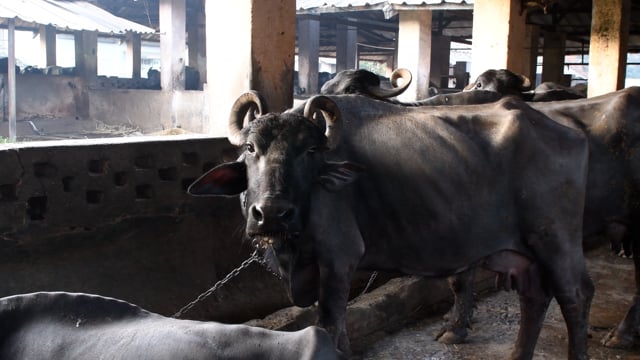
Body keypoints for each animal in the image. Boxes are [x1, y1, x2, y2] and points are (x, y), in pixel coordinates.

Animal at [188, 91, 592, 358]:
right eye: (251, 149)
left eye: (310, 151)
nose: (271, 213)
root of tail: (571, 132)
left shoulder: (339, 259)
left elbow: (331, 323)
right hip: (525, 254)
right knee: (535, 297)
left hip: (556, 240)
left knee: (575, 295)